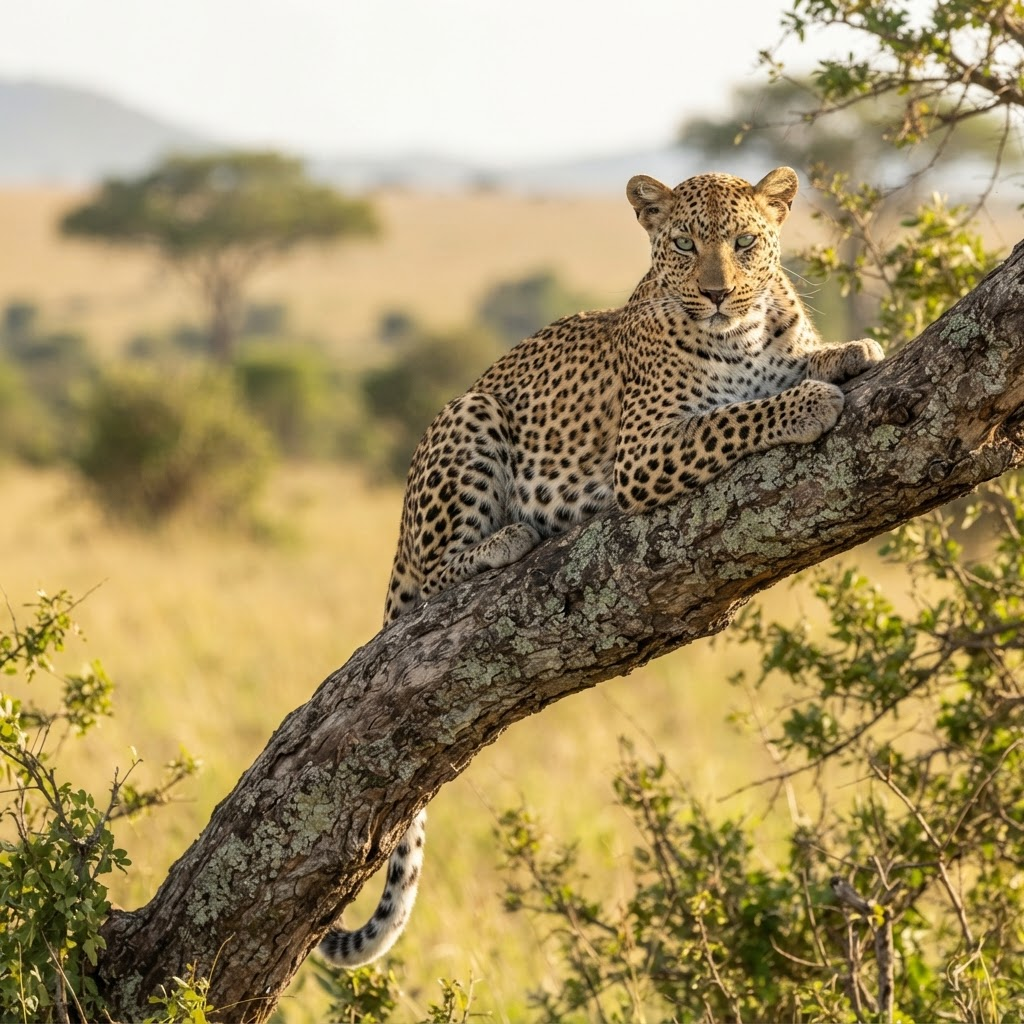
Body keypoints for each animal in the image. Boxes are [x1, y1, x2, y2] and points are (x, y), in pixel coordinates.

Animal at [319, 165, 884, 967]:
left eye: (745, 243)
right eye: (683, 245)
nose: (717, 292)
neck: (742, 333)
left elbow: (790, 363)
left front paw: (843, 350)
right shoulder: (645, 452)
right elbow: (737, 416)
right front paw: (807, 402)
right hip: (470, 415)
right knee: (433, 574)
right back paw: (505, 540)